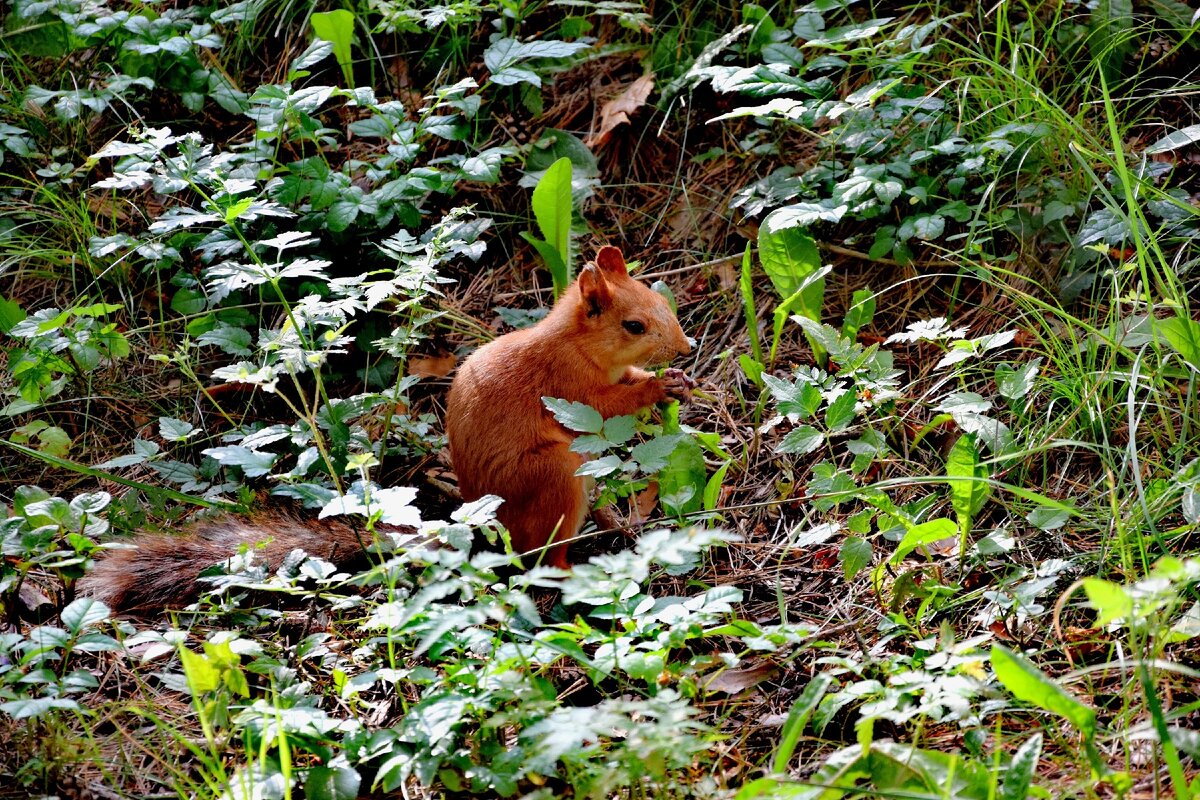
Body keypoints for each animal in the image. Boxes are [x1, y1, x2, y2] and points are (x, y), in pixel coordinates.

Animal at [448, 247, 696, 566]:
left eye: (663, 301)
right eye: (634, 326)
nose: (685, 349)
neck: (578, 344)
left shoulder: (617, 373)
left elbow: (631, 376)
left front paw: (678, 380)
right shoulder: (569, 385)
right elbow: (609, 406)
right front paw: (656, 388)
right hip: (556, 473)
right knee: (546, 556)